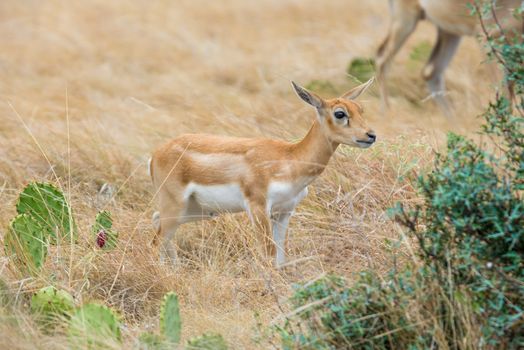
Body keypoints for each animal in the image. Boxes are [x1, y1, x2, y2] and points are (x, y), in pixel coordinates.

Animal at [150, 78, 376, 266]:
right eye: (340, 113)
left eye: (361, 109)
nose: (370, 135)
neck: (289, 157)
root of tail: (156, 153)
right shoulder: (258, 208)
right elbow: (268, 254)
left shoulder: (284, 212)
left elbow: (281, 256)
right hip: (176, 208)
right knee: (156, 242)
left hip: (193, 211)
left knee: (158, 225)